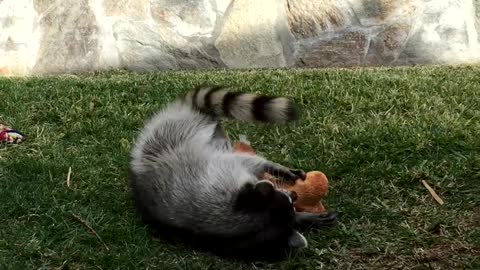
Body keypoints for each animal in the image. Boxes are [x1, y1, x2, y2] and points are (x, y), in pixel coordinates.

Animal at [129, 85, 336, 258]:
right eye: (288, 199)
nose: (294, 195)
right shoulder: (219, 175)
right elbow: (246, 162)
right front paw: (276, 169)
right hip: (174, 132)